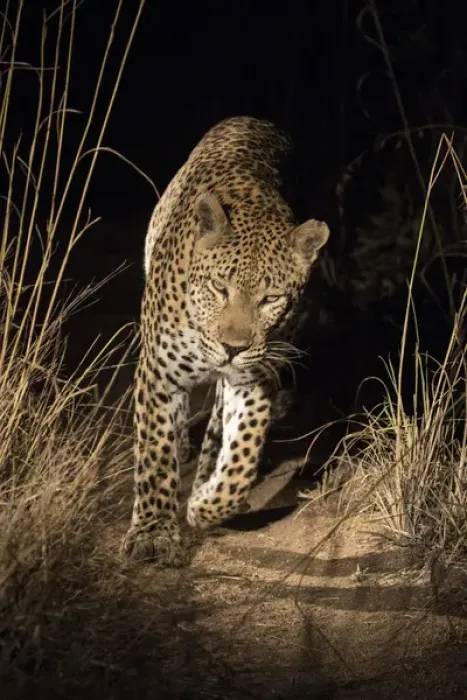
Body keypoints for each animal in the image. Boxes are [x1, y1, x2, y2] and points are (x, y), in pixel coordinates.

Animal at [122, 116, 329, 566]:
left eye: (270, 299)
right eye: (219, 288)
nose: (233, 348)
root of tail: (256, 119)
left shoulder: (255, 376)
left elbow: (241, 457)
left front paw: (205, 504)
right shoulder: (158, 371)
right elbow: (154, 452)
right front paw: (153, 532)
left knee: (219, 422)